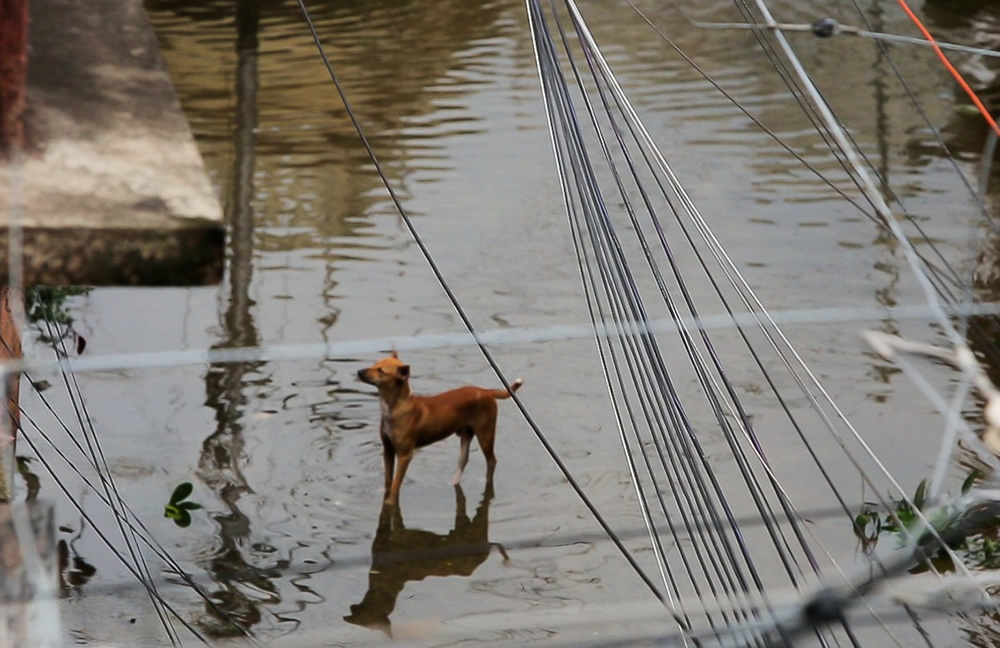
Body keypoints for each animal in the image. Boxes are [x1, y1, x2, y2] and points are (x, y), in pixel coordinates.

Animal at [358, 354, 524, 506]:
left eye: (381, 370)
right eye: (374, 364)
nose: (359, 372)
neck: (395, 406)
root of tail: (486, 391)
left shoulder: (405, 455)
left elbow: (396, 482)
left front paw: (390, 501)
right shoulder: (388, 449)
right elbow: (388, 479)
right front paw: (384, 493)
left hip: (485, 434)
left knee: (491, 461)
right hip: (466, 434)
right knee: (463, 460)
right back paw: (453, 482)